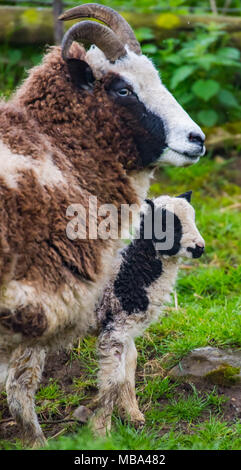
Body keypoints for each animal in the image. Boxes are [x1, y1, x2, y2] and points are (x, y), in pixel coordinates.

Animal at [93, 191, 204, 434]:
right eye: (167, 223)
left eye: (193, 217)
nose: (200, 247)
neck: (132, 272)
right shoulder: (114, 330)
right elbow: (111, 380)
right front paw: (101, 432)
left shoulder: (126, 328)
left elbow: (128, 369)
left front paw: (134, 416)